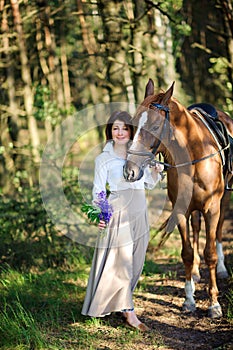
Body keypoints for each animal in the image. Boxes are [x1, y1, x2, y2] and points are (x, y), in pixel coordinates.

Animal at [123, 79, 232, 318]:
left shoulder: (212, 208)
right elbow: (187, 253)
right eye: (133, 125)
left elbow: (210, 252)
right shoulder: (181, 210)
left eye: (155, 127)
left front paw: (214, 304)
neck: (193, 155)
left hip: (223, 200)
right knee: (196, 228)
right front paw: (189, 300)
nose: (129, 171)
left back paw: (221, 268)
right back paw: (196, 273)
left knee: (219, 229)